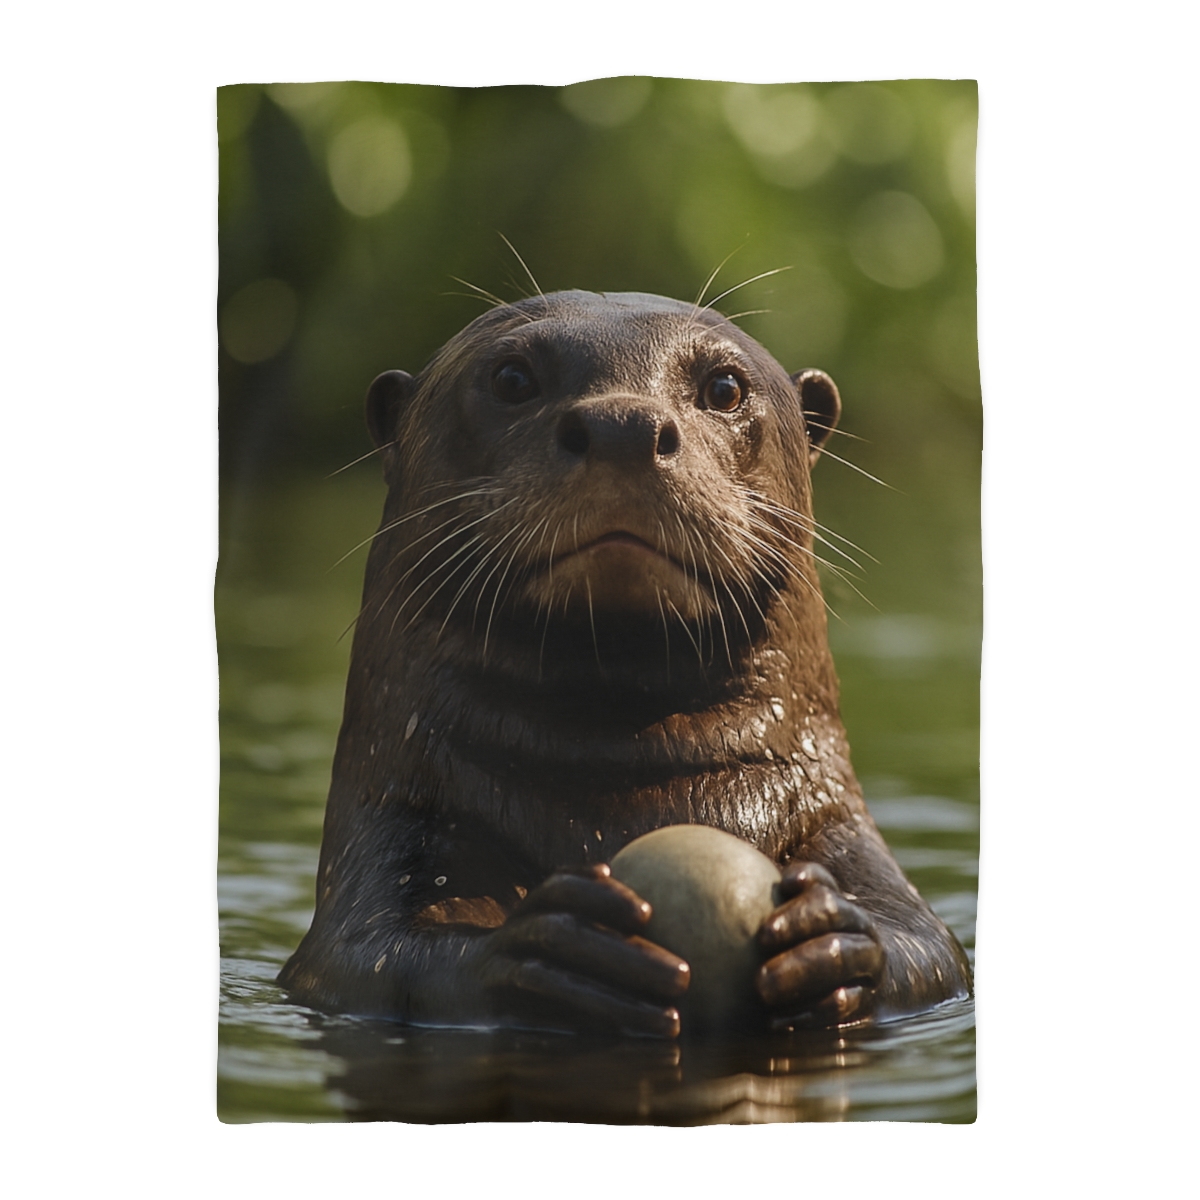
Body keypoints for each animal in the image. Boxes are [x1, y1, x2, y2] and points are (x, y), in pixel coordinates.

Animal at [279, 290, 972, 1037]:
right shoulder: (392, 833)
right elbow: (373, 957)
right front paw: (558, 948)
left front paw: (828, 939)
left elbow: (929, 950)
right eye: (512, 378)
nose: (624, 426)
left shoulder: (836, 827)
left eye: (724, 388)